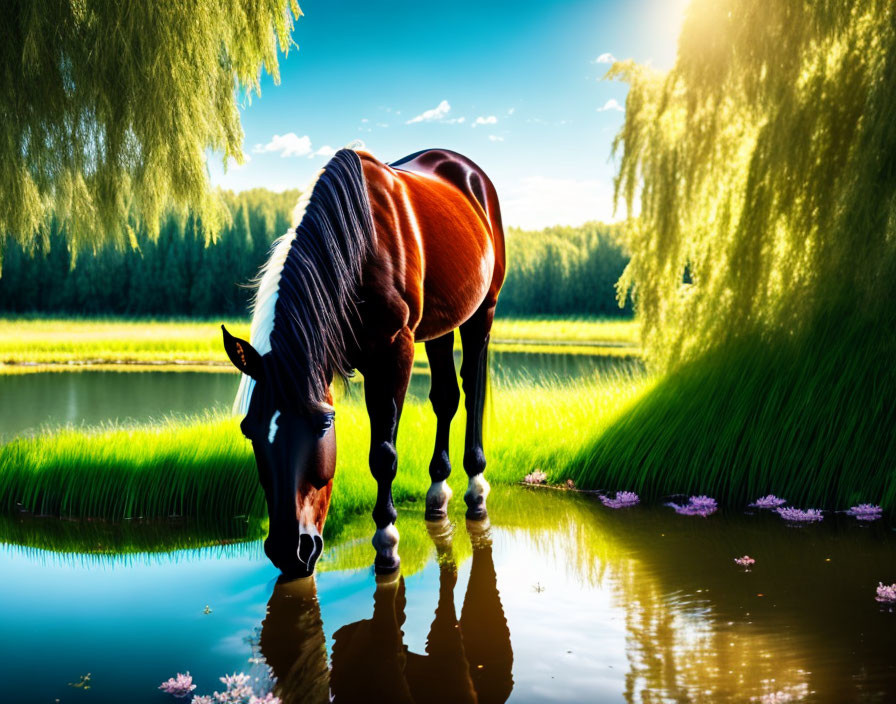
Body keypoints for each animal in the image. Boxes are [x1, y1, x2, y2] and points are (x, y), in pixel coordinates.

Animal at [221, 144, 508, 576]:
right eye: (248, 429)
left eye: (324, 424)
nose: (290, 552)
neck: (357, 248)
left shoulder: (395, 350)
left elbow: (384, 454)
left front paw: (387, 543)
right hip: (440, 327)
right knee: (445, 398)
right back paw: (437, 494)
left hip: (482, 312)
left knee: (472, 390)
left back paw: (475, 490)